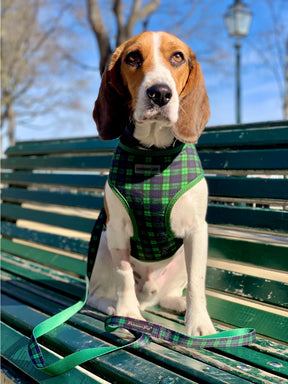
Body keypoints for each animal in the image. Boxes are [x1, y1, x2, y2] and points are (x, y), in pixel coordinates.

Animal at [88, 31, 216, 334]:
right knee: (94, 296)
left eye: (177, 57)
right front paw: (127, 314)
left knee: (171, 293)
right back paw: (115, 308)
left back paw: (177, 303)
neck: (153, 152)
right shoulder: (117, 229)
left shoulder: (197, 230)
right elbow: (123, 275)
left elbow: (197, 283)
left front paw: (199, 324)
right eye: (133, 57)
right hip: (103, 245)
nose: (160, 93)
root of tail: (148, 294)